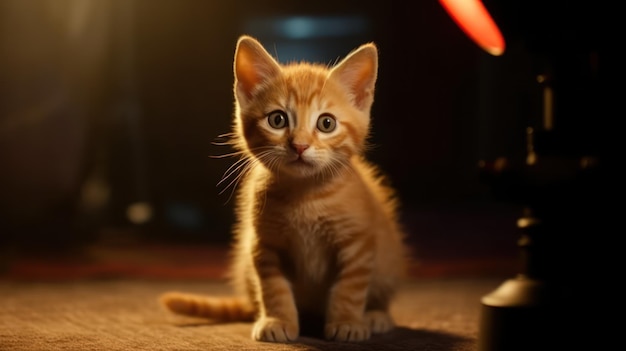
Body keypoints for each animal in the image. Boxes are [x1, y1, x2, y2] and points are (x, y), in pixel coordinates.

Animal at [158, 35, 408, 344]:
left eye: (326, 123)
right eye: (277, 120)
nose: (300, 145)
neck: (305, 196)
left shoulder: (358, 243)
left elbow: (349, 288)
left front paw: (347, 321)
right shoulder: (264, 244)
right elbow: (273, 288)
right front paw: (277, 320)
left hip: (388, 260)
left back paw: (375, 315)